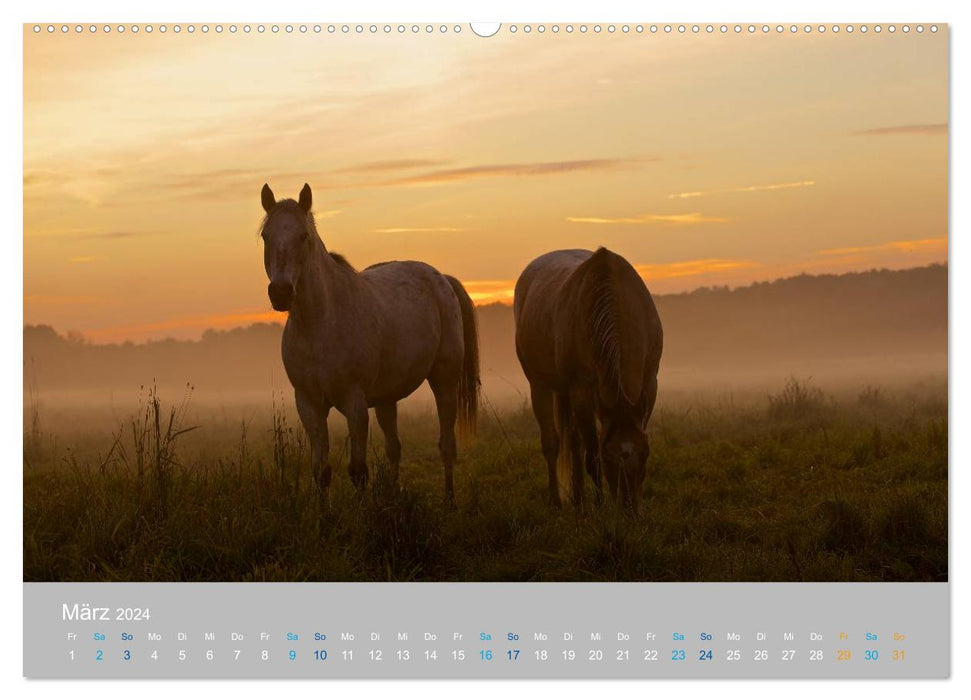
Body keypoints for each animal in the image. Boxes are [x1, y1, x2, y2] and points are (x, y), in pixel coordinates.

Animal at [258, 183, 478, 506]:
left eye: (303, 236)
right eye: (266, 235)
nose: (281, 292)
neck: (319, 324)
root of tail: (441, 279)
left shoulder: (355, 403)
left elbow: (358, 471)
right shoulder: (309, 404)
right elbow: (320, 470)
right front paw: (324, 517)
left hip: (445, 382)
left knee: (446, 445)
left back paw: (449, 502)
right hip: (387, 398)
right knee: (394, 448)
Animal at [512, 249, 664, 512]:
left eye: (644, 453)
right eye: (609, 457)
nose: (631, 509)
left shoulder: (648, 383)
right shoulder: (582, 392)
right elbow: (592, 456)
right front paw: (600, 507)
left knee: (573, 441)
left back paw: (578, 498)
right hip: (540, 386)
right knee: (553, 442)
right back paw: (560, 502)